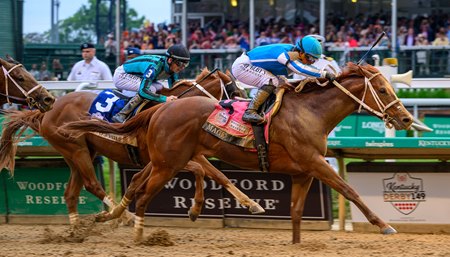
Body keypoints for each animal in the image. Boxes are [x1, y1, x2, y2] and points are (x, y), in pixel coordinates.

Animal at [0, 67, 264, 224]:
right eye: (235, 90)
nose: (245, 109)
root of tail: (46, 111)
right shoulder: (166, 158)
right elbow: (204, 170)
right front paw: (196, 208)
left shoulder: (182, 154)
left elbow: (218, 175)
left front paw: (251, 204)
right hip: (76, 150)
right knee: (93, 184)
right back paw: (121, 216)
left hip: (79, 153)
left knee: (71, 192)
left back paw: (76, 231)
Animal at [61, 62, 414, 242]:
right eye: (382, 90)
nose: (406, 119)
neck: (310, 111)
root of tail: (160, 108)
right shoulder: (315, 162)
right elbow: (349, 190)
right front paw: (384, 224)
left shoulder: (304, 169)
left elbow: (298, 209)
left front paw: (296, 241)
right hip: (162, 162)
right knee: (139, 193)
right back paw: (134, 232)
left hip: (161, 159)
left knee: (124, 186)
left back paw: (104, 219)